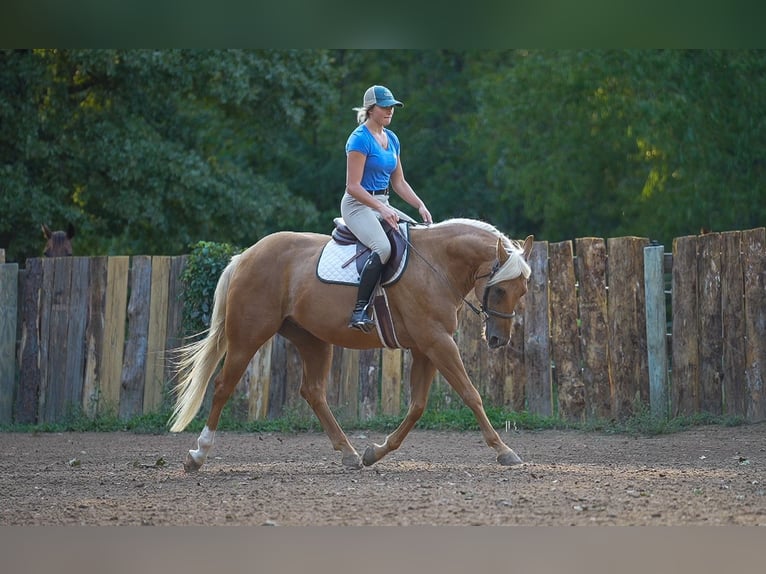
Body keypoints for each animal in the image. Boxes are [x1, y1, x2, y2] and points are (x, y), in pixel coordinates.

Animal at [169, 218, 534, 472]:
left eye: (523, 291)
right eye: (500, 289)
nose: (498, 340)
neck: (436, 264)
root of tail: (245, 255)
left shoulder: (426, 348)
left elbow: (417, 406)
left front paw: (376, 452)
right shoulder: (438, 343)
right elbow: (471, 395)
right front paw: (504, 451)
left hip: (313, 340)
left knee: (313, 392)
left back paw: (350, 454)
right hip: (247, 337)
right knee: (222, 386)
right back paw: (198, 455)